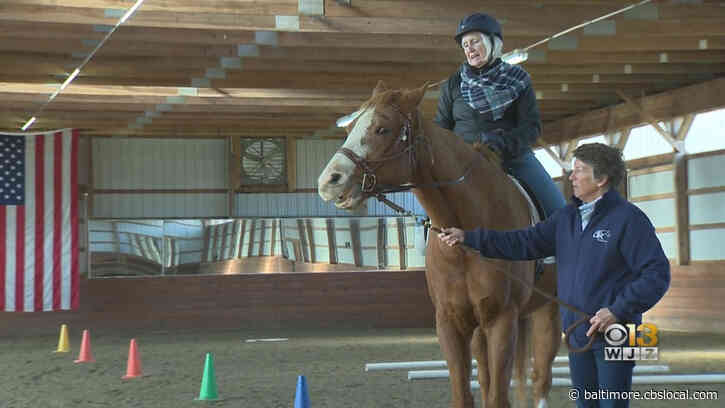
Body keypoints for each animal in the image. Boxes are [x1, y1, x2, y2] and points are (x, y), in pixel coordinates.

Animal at [318, 81, 561, 408]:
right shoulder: (450, 322)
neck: (465, 241)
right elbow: (464, 395)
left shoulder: (502, 320)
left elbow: (498, 397)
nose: (329, 182)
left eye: (382, 128)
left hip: (548, 310)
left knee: (540, 379)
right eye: (351, 127)